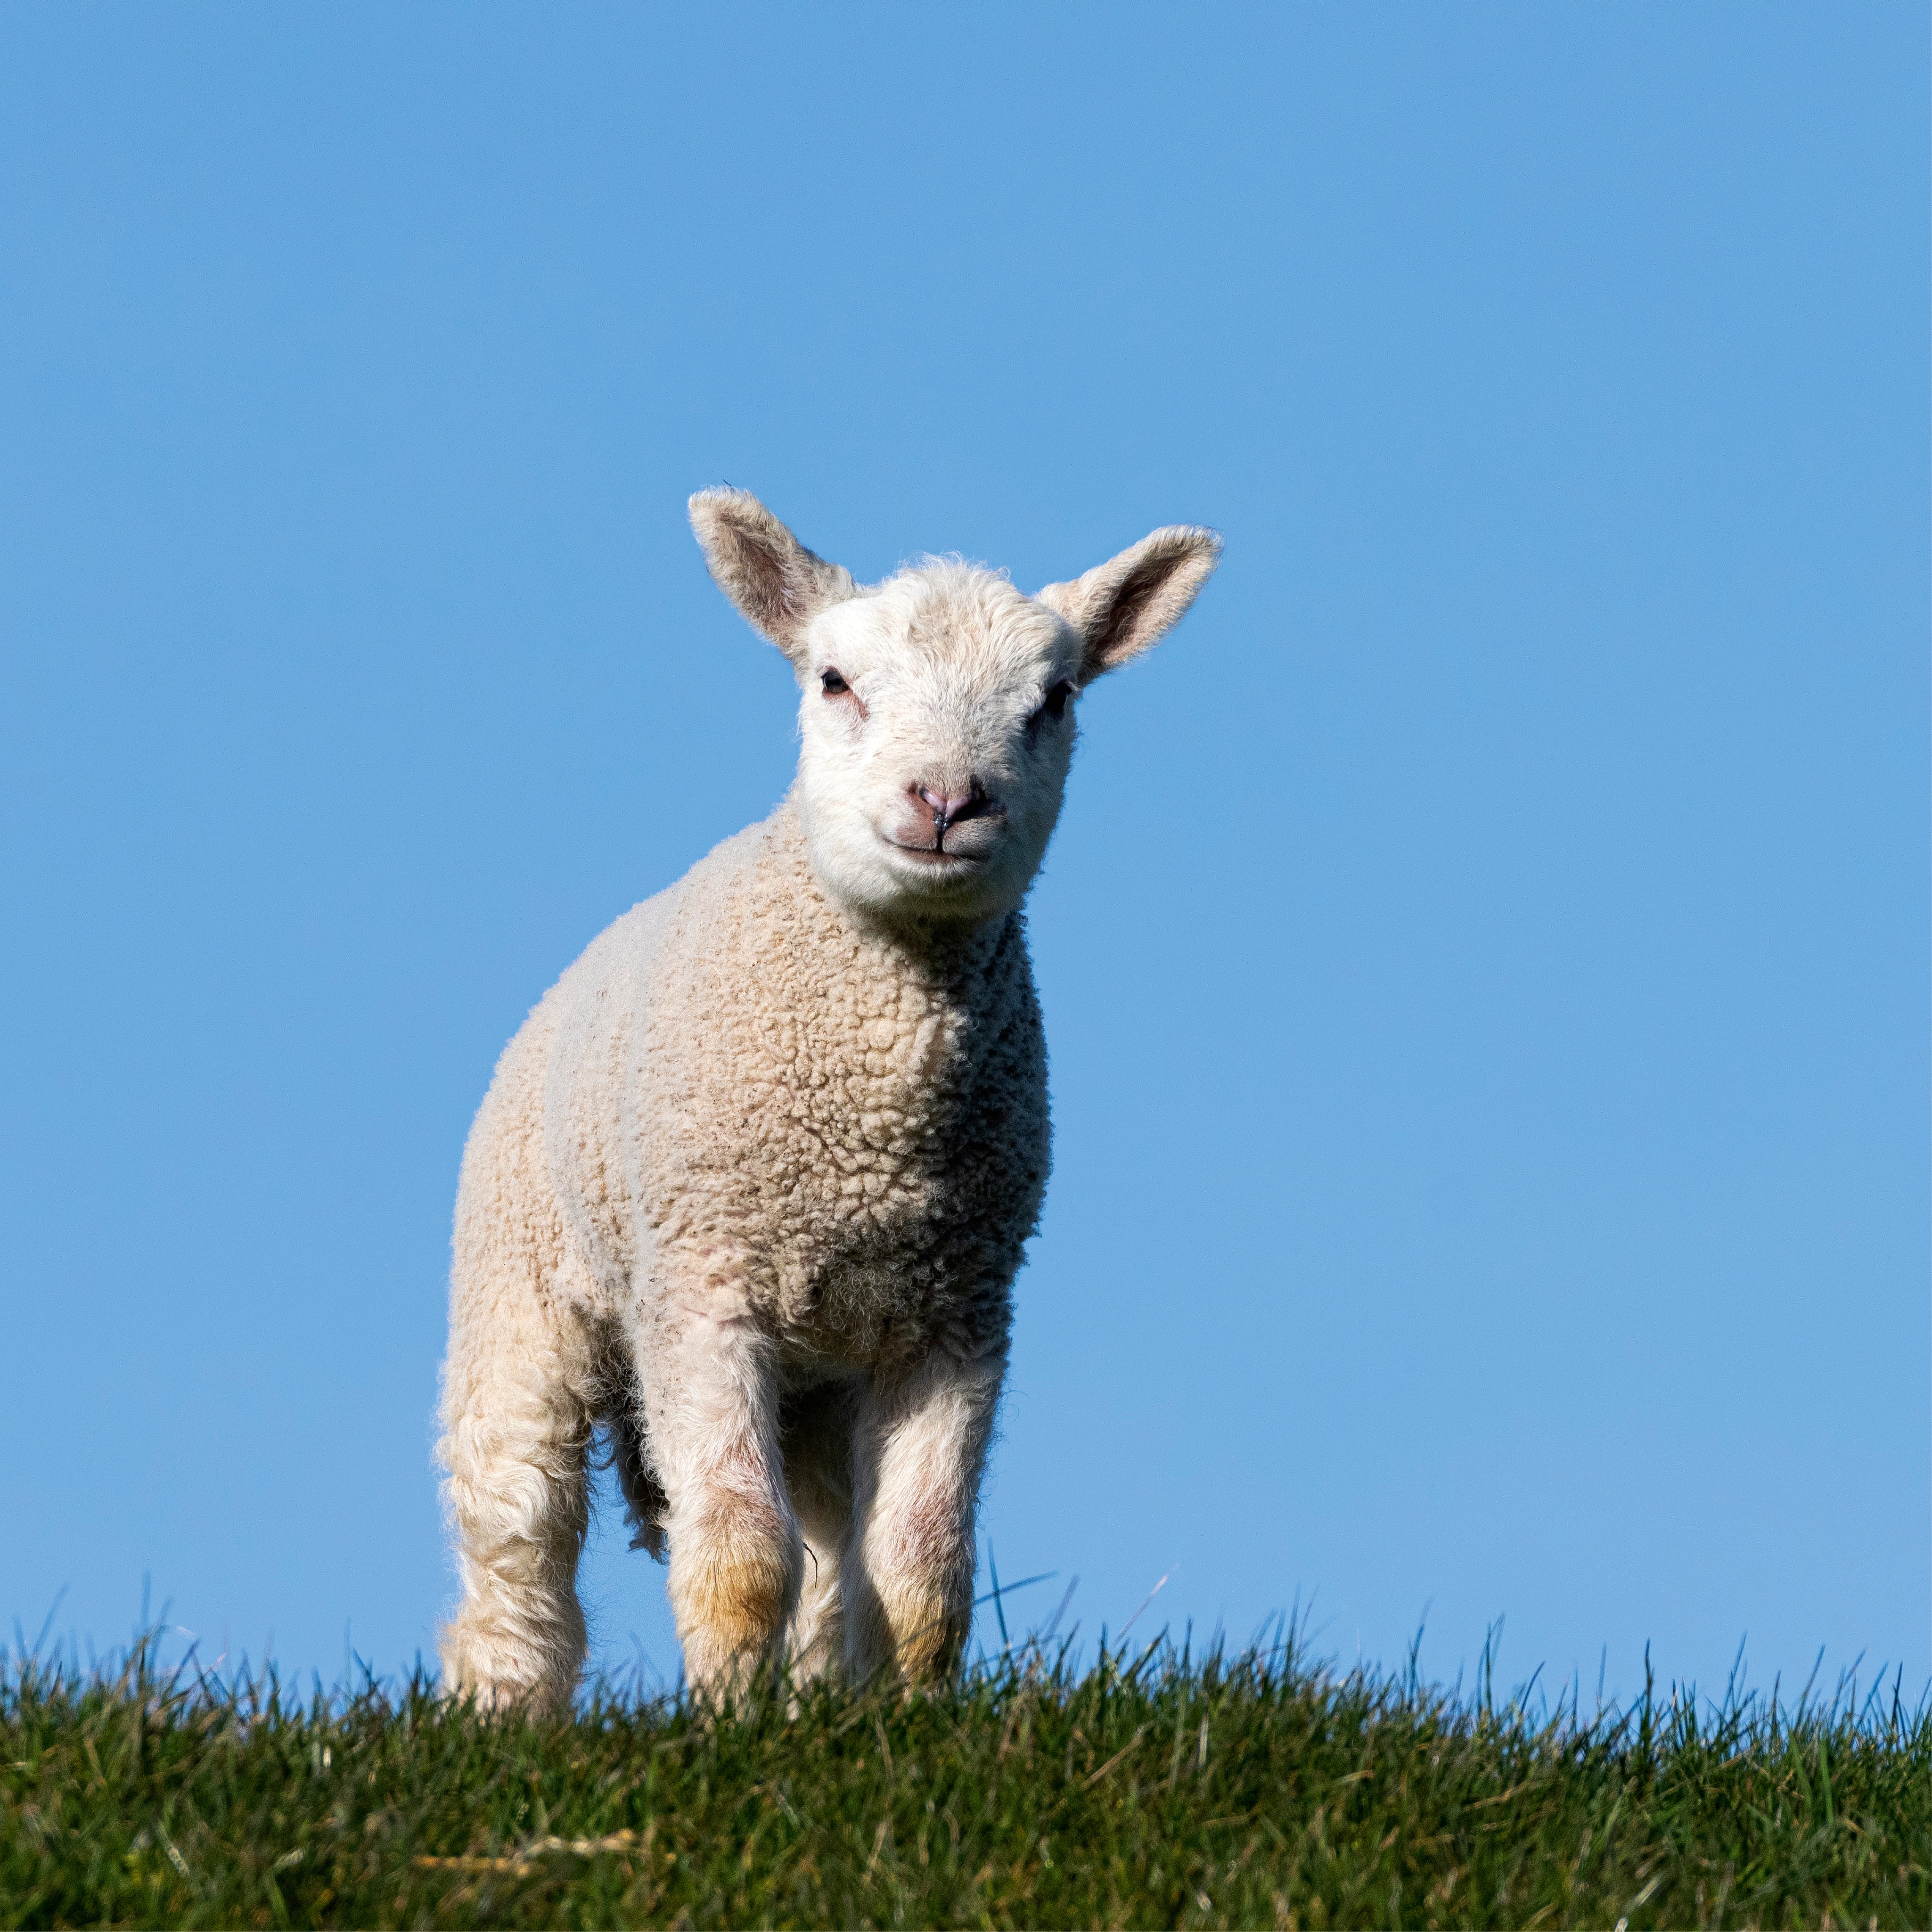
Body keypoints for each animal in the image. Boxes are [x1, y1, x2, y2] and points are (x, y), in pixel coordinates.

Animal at [437, 489, 1221, 1708]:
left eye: (1053, 699)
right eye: (834, 681)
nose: (946, 800)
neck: (872, 1132)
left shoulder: (958, 1315)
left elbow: (918, 1570)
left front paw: (907, 1723)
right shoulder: (703, 1287)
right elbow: (736, 1555)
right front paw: (722, 1722)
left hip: (818, 1378)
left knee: (824, 1550)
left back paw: (813, 1703)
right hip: (521, 1300)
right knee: (518, 1543)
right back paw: (505, 1710)